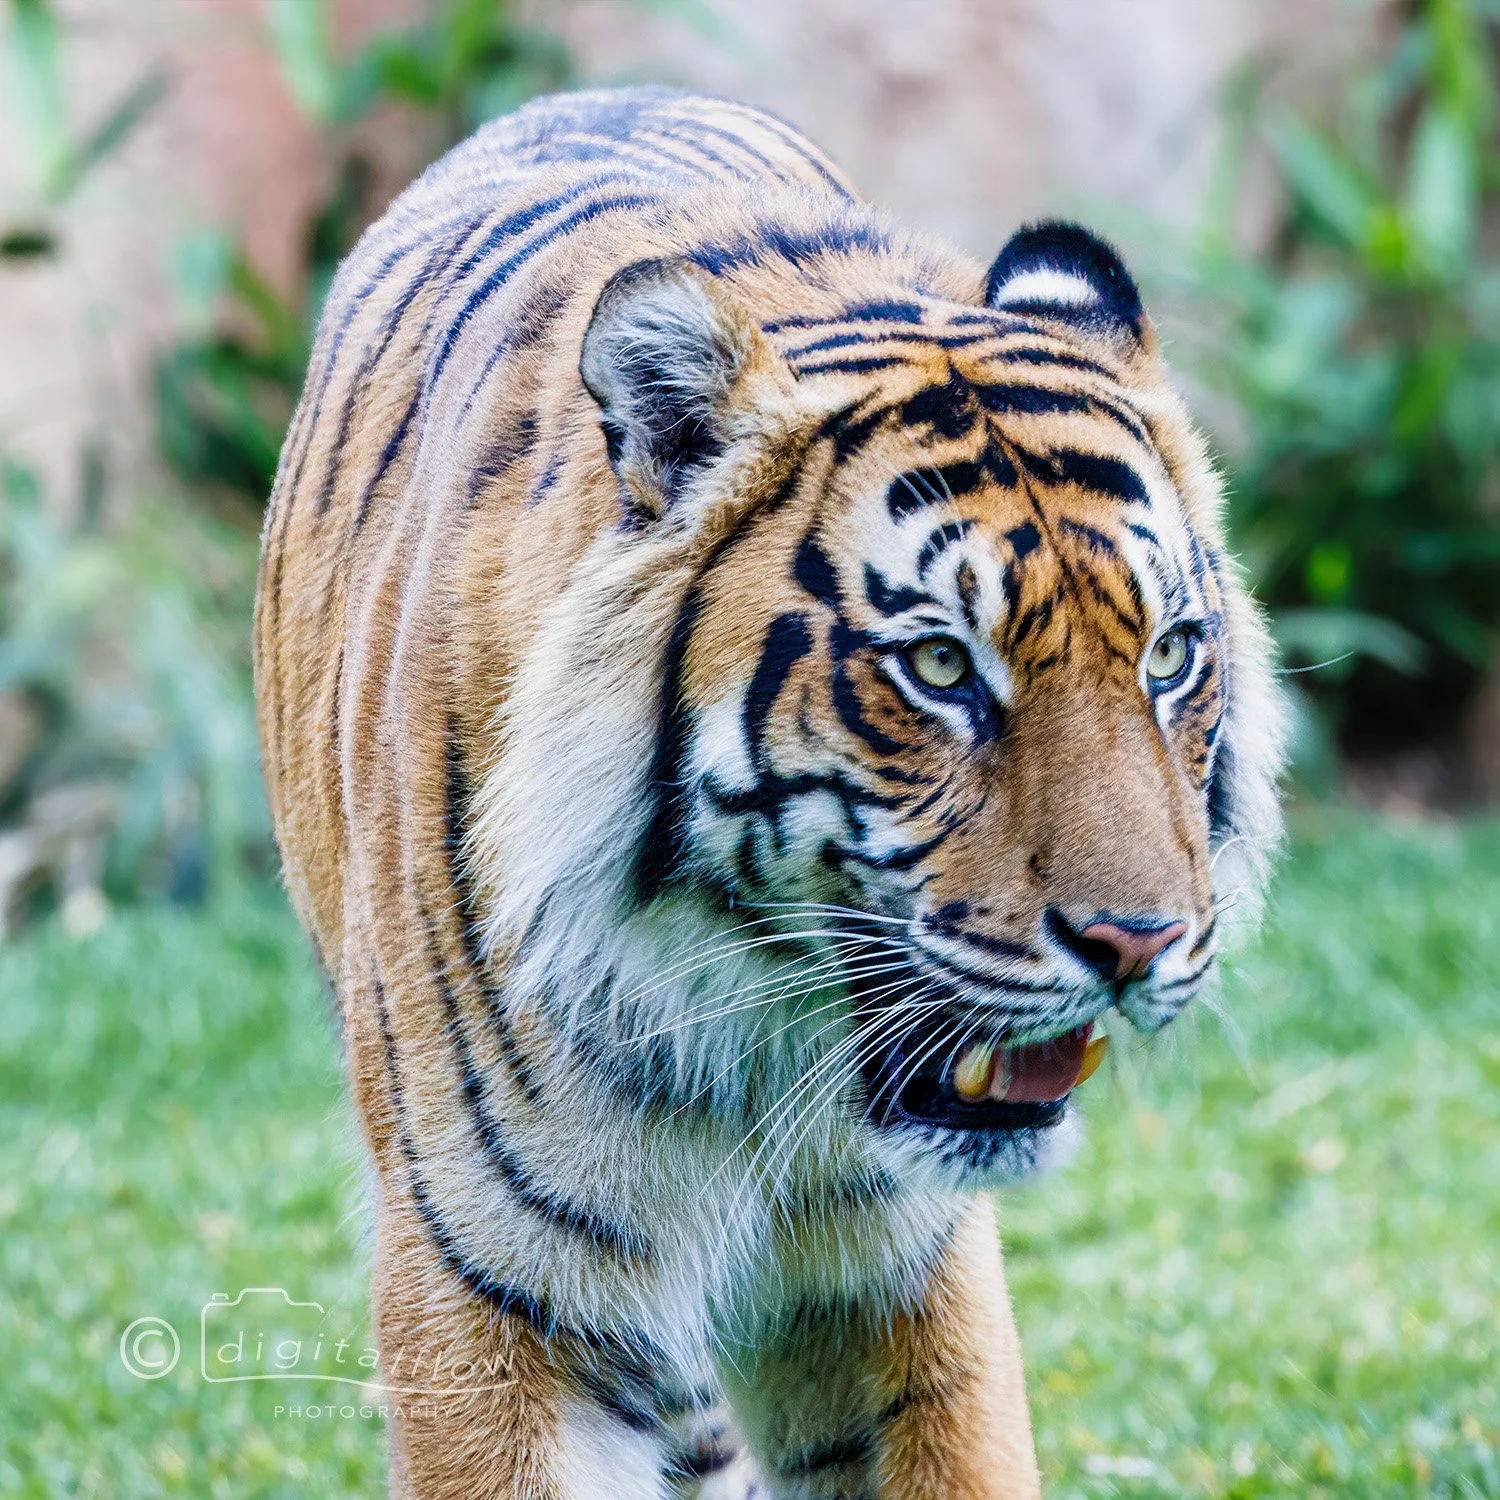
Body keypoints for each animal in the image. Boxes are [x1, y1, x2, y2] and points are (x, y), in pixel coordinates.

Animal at [254, 86, 1283, 1500]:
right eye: (940, 667)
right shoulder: (487, 1287)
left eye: (1170, 654)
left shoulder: (893, 1275)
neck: (746, 1023)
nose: (1140, 945)